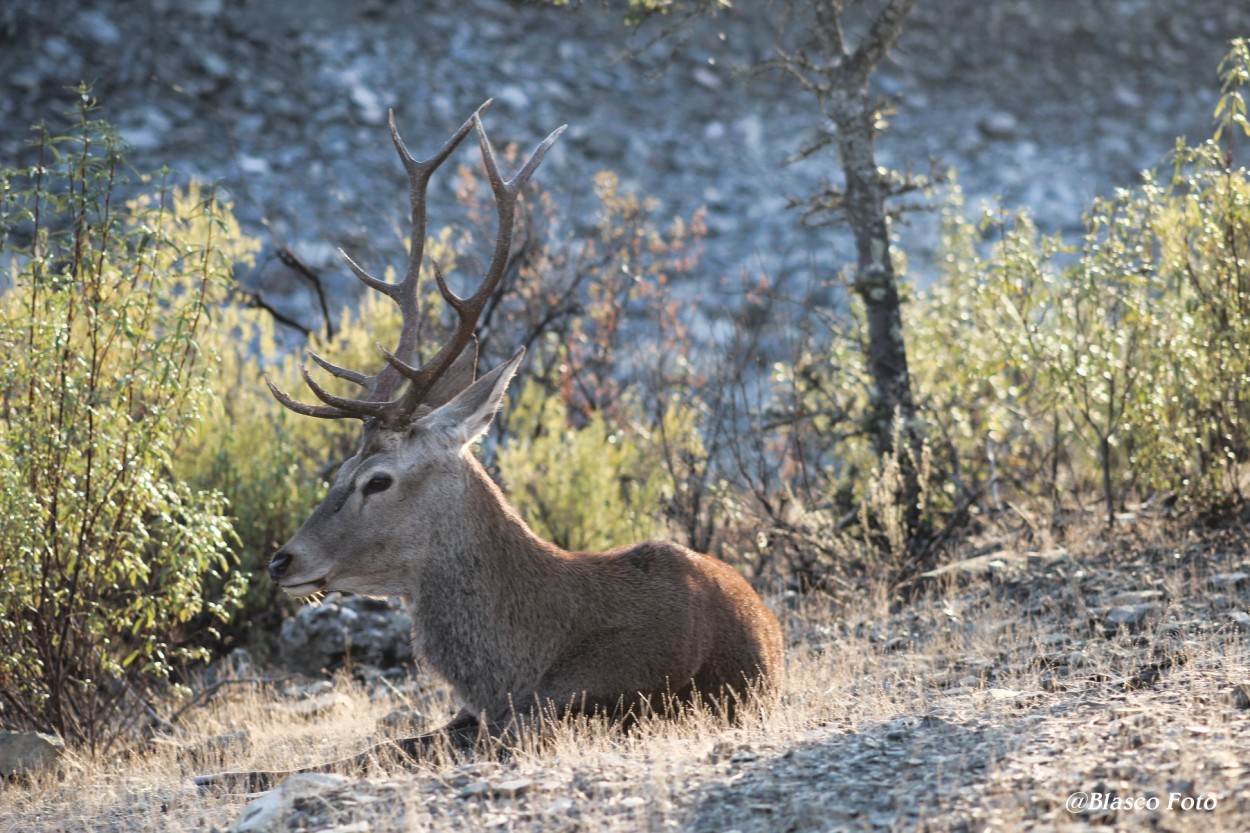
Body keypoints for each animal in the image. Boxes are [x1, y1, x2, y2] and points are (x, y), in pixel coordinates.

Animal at [195, 101, 780, 785]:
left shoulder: (601, 703)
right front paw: (220, 773)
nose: (283, 560)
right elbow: (379, 748)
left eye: (378, 479)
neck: (522, 663)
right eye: (339, 468)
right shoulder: (477, 715)